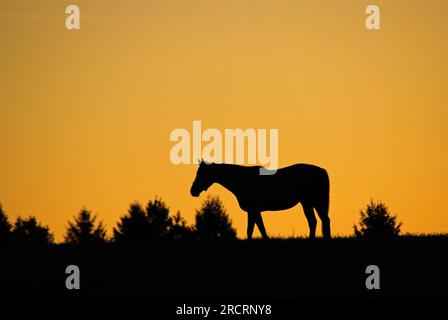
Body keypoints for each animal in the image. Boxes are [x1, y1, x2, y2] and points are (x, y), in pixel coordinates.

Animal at [189, 162, 328, 240]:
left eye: (201, 173)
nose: (193, 191)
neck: (241, 180)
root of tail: (322, 171)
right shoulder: (253, 211)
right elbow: (255, 229)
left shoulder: (253, 210)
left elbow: (256, 229)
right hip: (309, 203)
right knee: (317, 221)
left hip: (311, 202)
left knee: (317, 221)